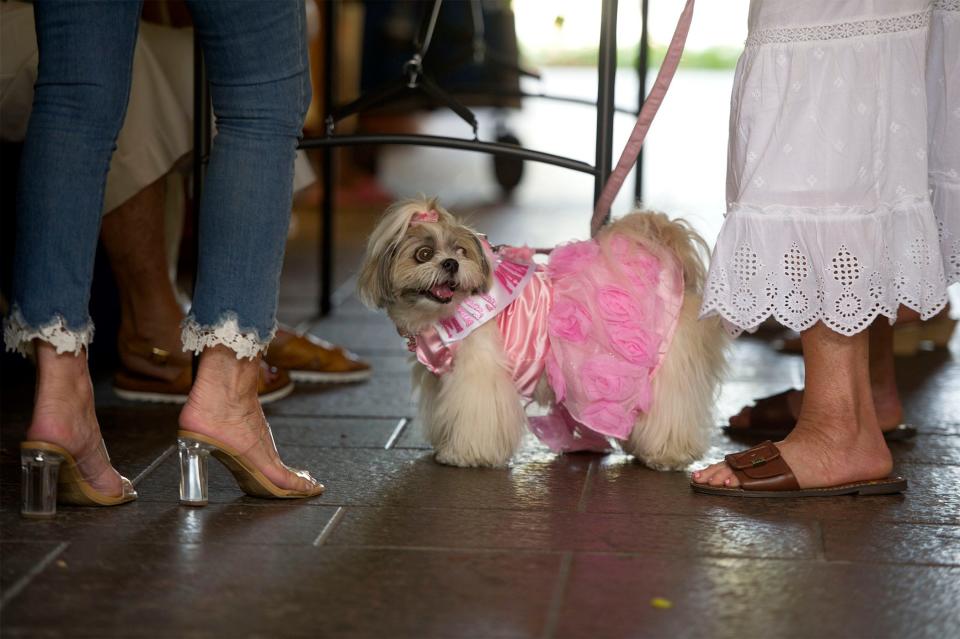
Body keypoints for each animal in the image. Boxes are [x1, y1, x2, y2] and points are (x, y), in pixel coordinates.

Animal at [360, 198, 728, 472]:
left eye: (461, 251)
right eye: (423, 254)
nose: (451, 263)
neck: (441, 315)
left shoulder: (478, 377)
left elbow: (476, 416)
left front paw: (464, 454)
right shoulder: (441, 378)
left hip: (664, 371)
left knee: (672, 412)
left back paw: (667, 454)